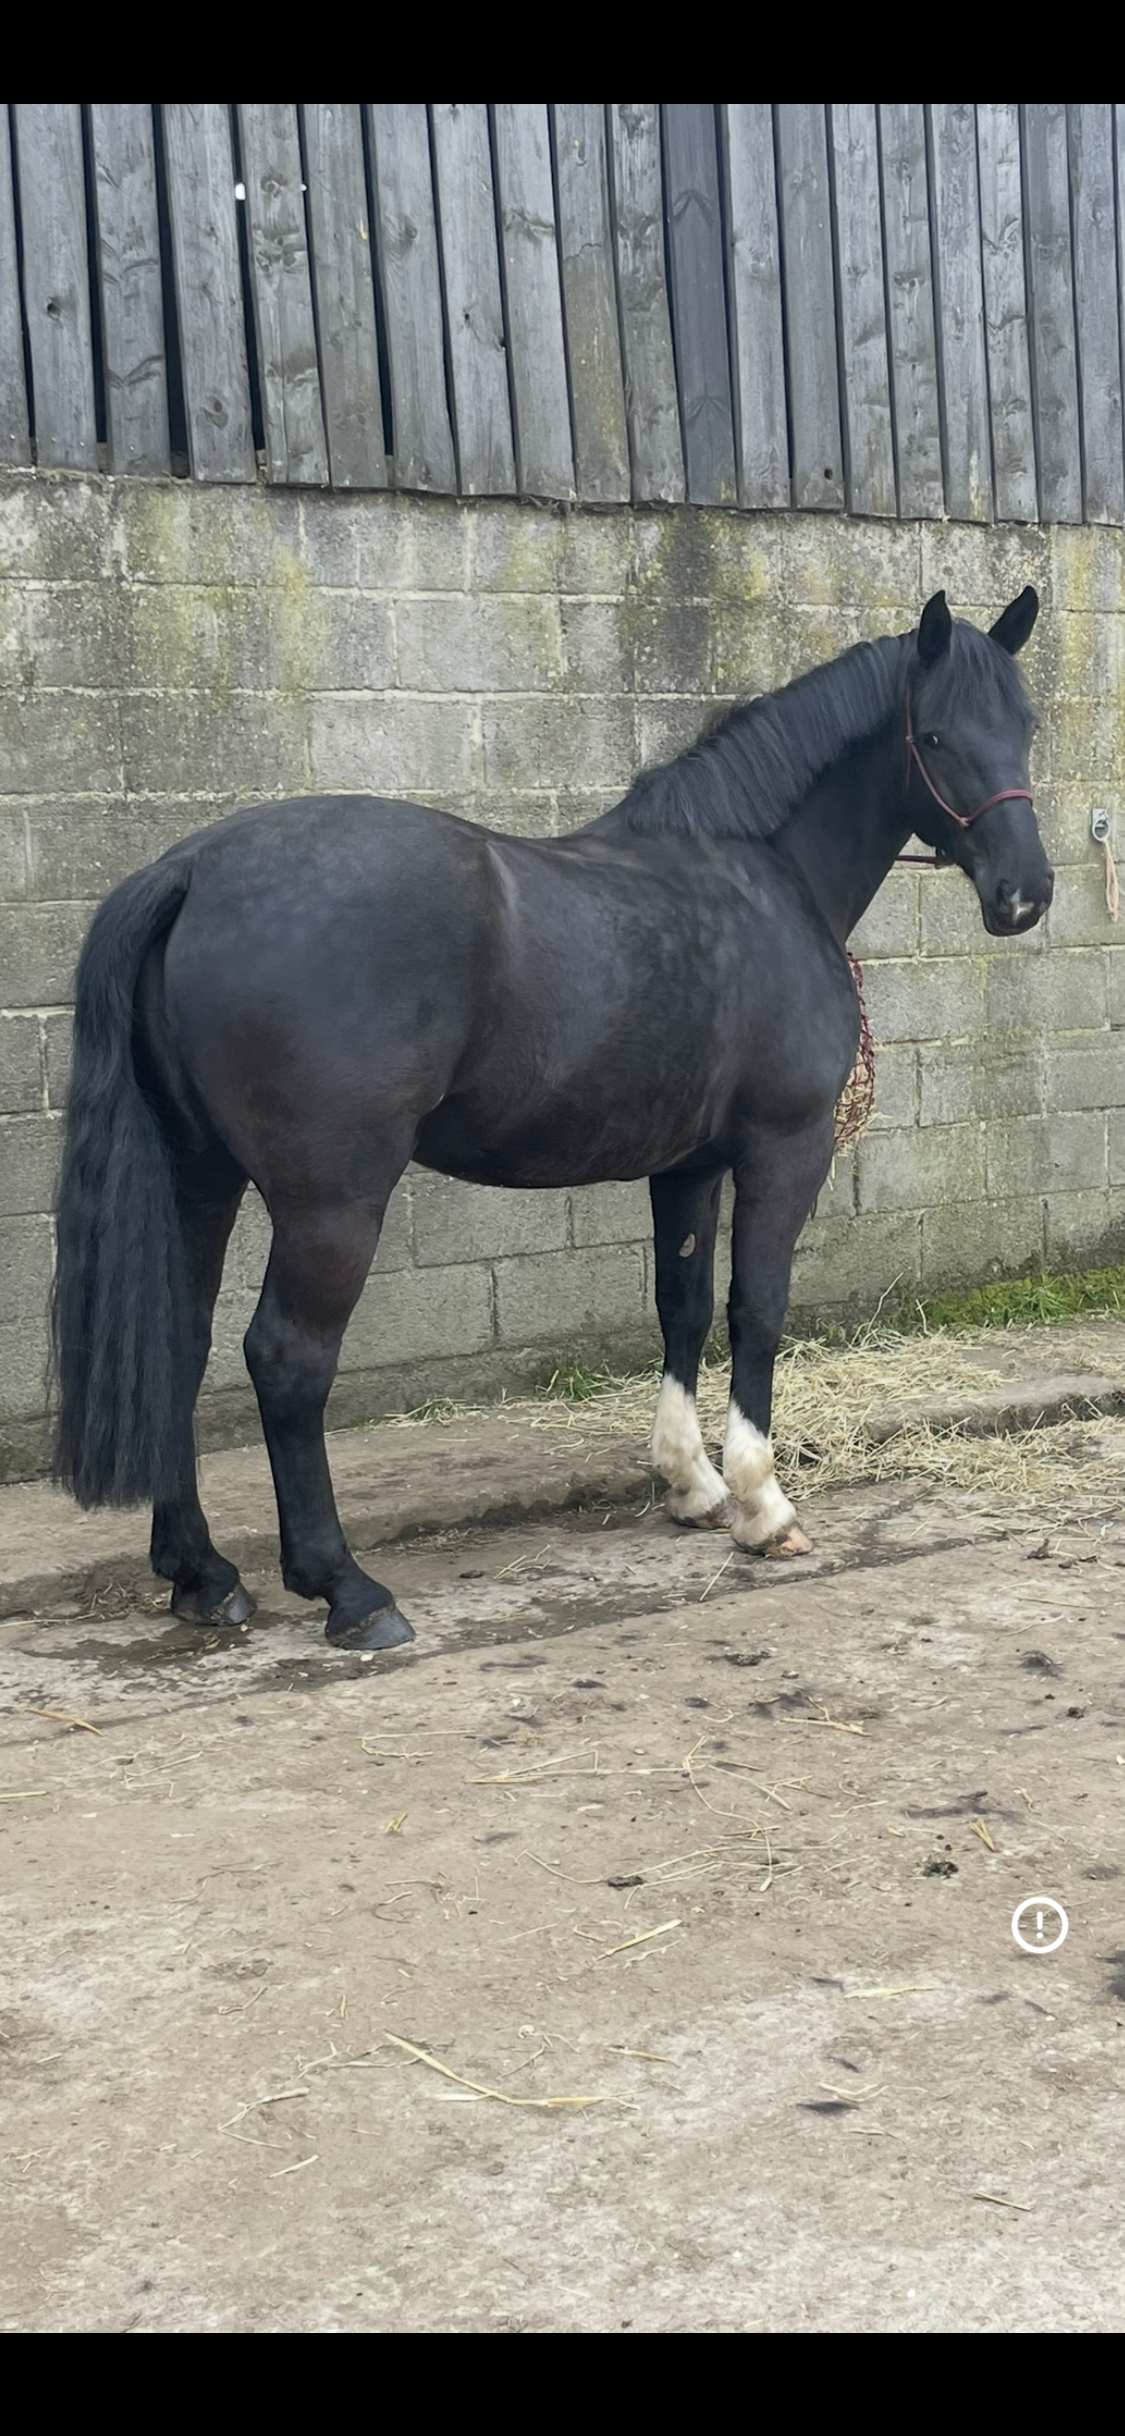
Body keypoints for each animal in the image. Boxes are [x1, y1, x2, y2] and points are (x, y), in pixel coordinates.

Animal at [52, 586, 1052, 1651]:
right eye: (935, 735)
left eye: (1024, 726)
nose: (1024, 893)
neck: (756, 877)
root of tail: (193, 870)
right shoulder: (784, 1150)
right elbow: (757, 1308)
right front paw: (760, 1505)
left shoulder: (688, 1165)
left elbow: (681, 1304)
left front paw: (691, 1486)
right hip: (330, 1204)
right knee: (285, 1360)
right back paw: (347, 1591)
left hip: (200, 1176)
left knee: (180, 1346)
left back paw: (202, 1575)